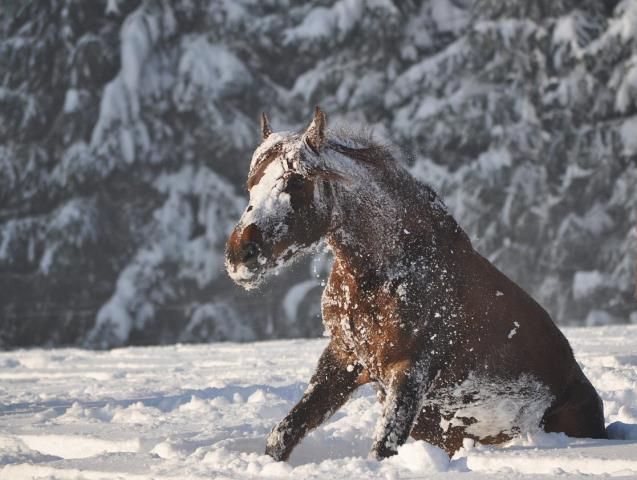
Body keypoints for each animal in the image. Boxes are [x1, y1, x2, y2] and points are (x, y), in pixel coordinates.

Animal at [225, 107, 608, 460]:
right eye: (251, 185)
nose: (239, 255)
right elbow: (284, 434)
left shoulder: (411, 371)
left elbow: (384, 447)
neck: (383, 275)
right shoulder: (344, 359)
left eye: (294, 182)